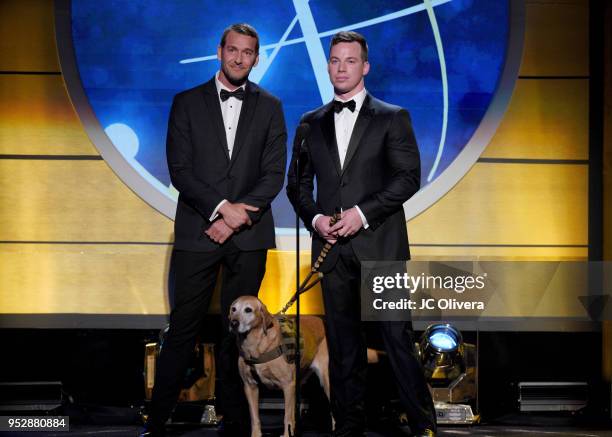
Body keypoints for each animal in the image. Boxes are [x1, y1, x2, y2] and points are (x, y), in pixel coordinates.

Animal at [228, 294, 330, 436]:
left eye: (248, 310)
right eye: (233, 309)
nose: (233, 323)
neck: (255, 346)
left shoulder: (288, 386)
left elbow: (287, 417)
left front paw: (287, 435)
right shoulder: (250, 386)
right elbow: (255, 417)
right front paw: (256, 434)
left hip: (326, 380)